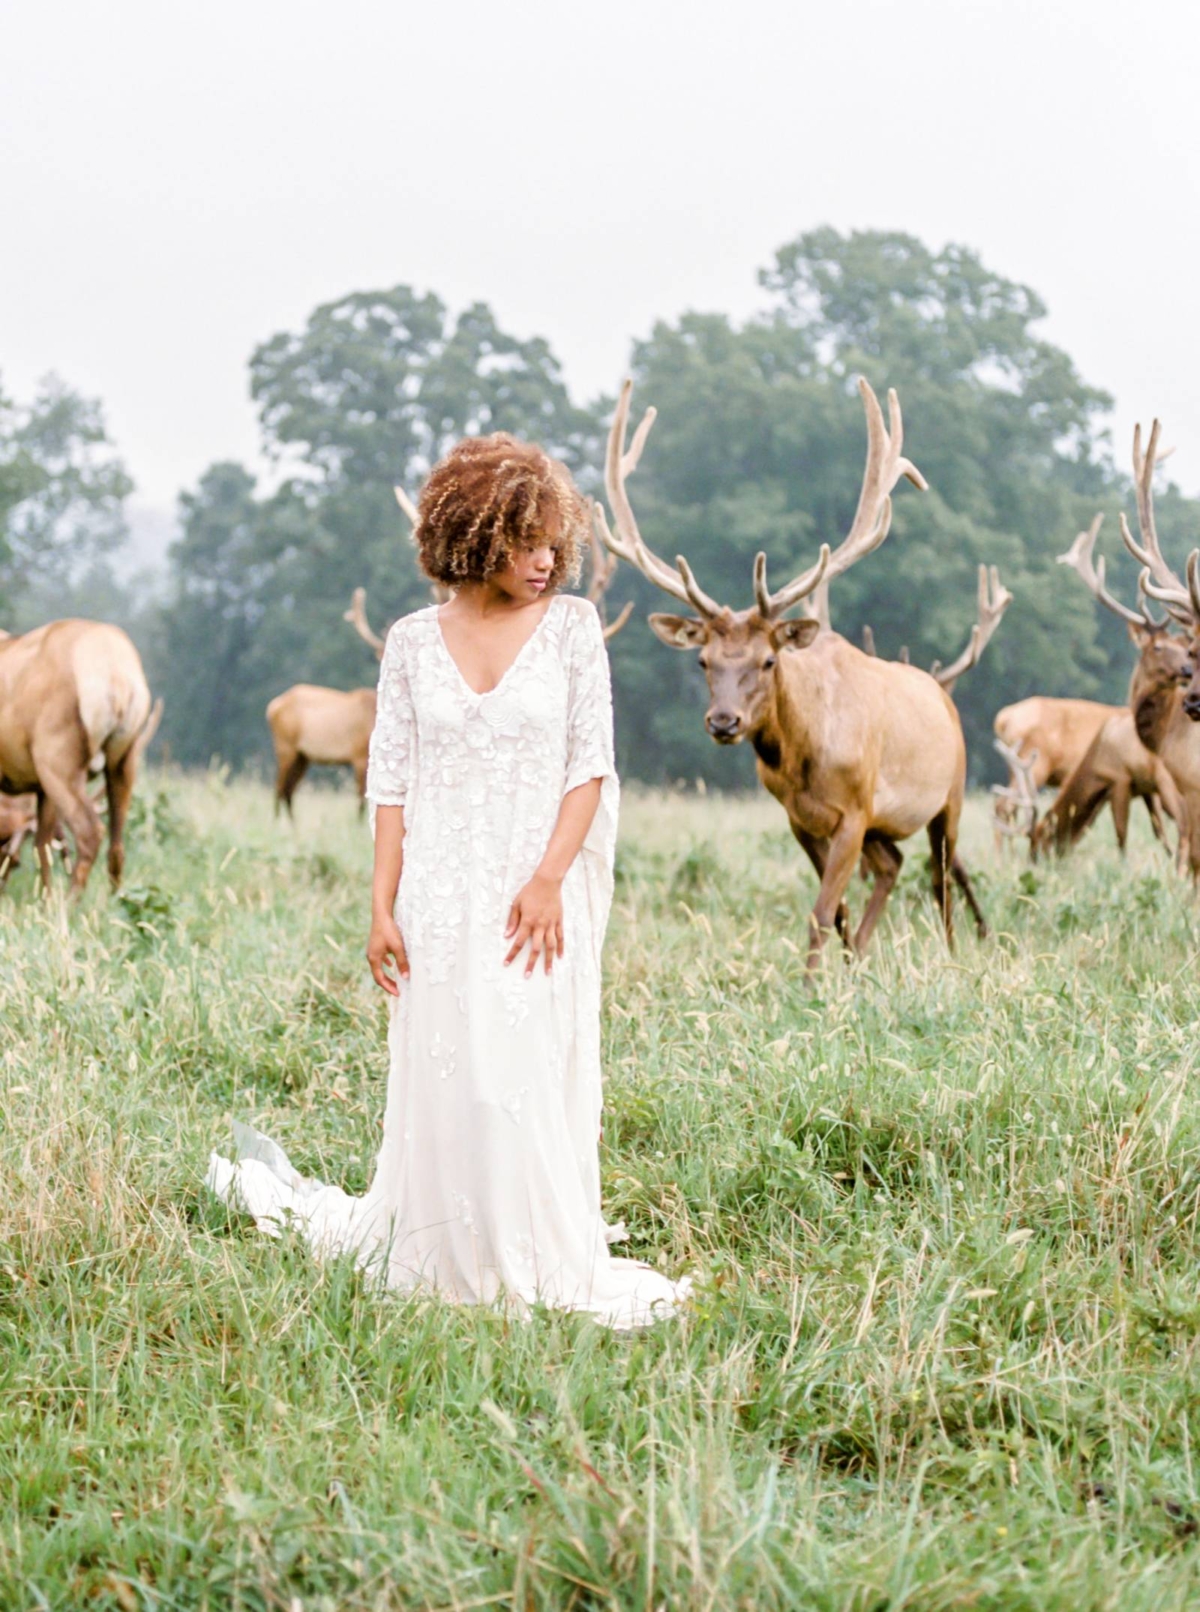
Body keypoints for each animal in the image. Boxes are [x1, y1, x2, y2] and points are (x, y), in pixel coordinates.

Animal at [0, 619, 162, 896]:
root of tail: (117, 677)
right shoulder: (40, 789)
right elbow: (42, 845)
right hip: (124, 761)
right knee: (116, 844)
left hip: (58, 762)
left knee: (90, 832)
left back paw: (69, 902)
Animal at [596, 373, 987, 967]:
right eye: (703, 660)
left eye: (769, 659)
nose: (724, 722)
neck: (806, 759)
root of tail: (941, 693)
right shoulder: (798, 817)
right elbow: (835, 908)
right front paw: (839, 969)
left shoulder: (856, 810)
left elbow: (823, 911)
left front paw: (812, 983)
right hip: (886, 825)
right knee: (893, 866)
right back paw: (861, 958)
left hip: (952, 795)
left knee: (942, 878)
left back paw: (950, 954)